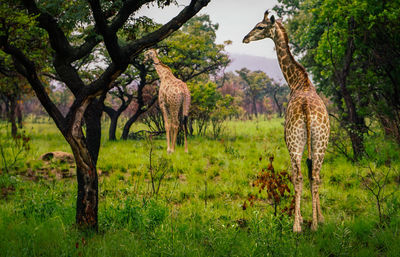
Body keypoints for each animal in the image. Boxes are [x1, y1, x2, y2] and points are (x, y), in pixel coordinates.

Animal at [242, 10, 330, 231]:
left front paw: (300, 219)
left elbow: (295, 176)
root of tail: (307, 111)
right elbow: (311, 175)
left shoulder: (288, 142)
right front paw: (319, 219)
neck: (298, 82)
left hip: (294, 141)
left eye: (260, 26)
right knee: (315, 175)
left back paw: (296, 226)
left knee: (298, 175)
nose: (245, 38)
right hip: (321, 142)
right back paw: (315, 225)